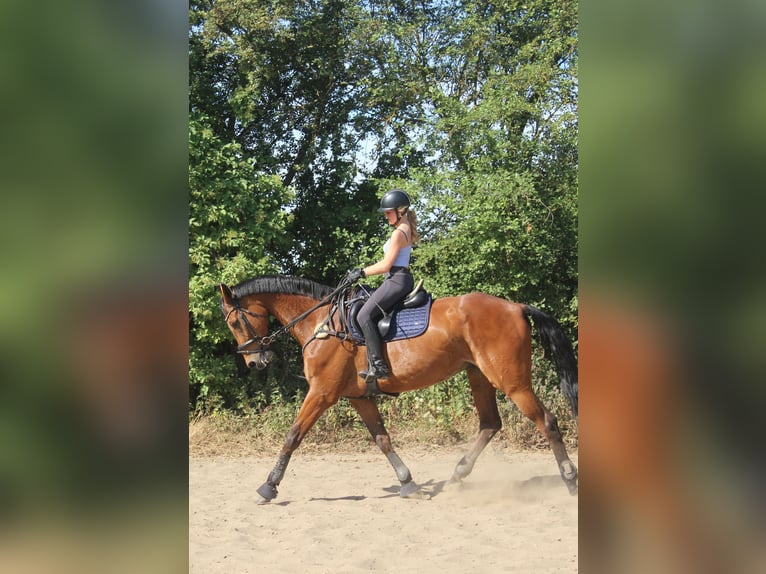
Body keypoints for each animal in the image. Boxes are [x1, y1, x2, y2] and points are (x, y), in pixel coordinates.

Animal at [219, 275, 578, 503]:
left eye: (235, 322)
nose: (255, 361)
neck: (321, 324)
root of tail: (516, 306)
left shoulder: (321, 393)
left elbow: (292, 436)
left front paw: (268, 487)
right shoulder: (358, 396)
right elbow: (382, 439)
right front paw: (408, 483)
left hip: (511, 382)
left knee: (547, 422)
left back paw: (569, 479)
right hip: (478, 375)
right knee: (490, 424)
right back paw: (457, 476)